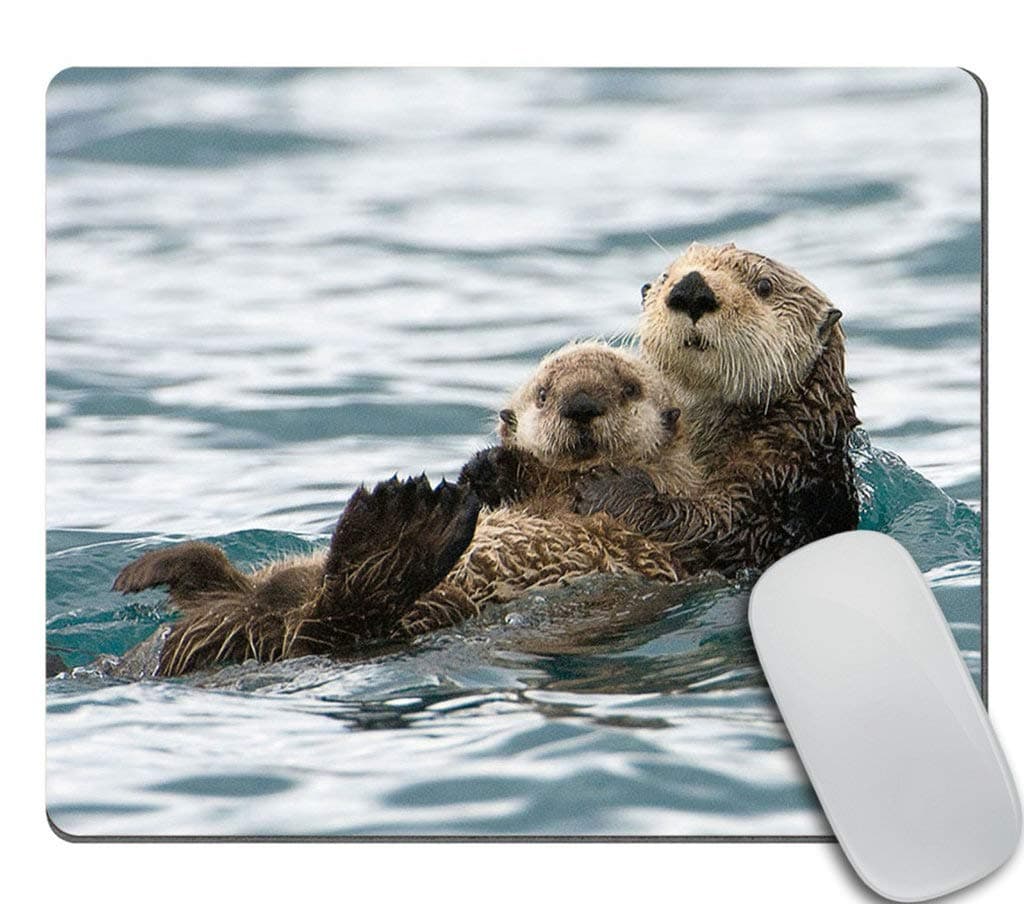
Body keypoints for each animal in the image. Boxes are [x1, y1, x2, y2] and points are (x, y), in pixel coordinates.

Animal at [111, 343, 701, 677]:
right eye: (544, 394)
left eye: (629, 388)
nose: (581, 405)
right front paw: (490, 467)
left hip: (414, 609)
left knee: (333, 620)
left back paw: (403, 522)